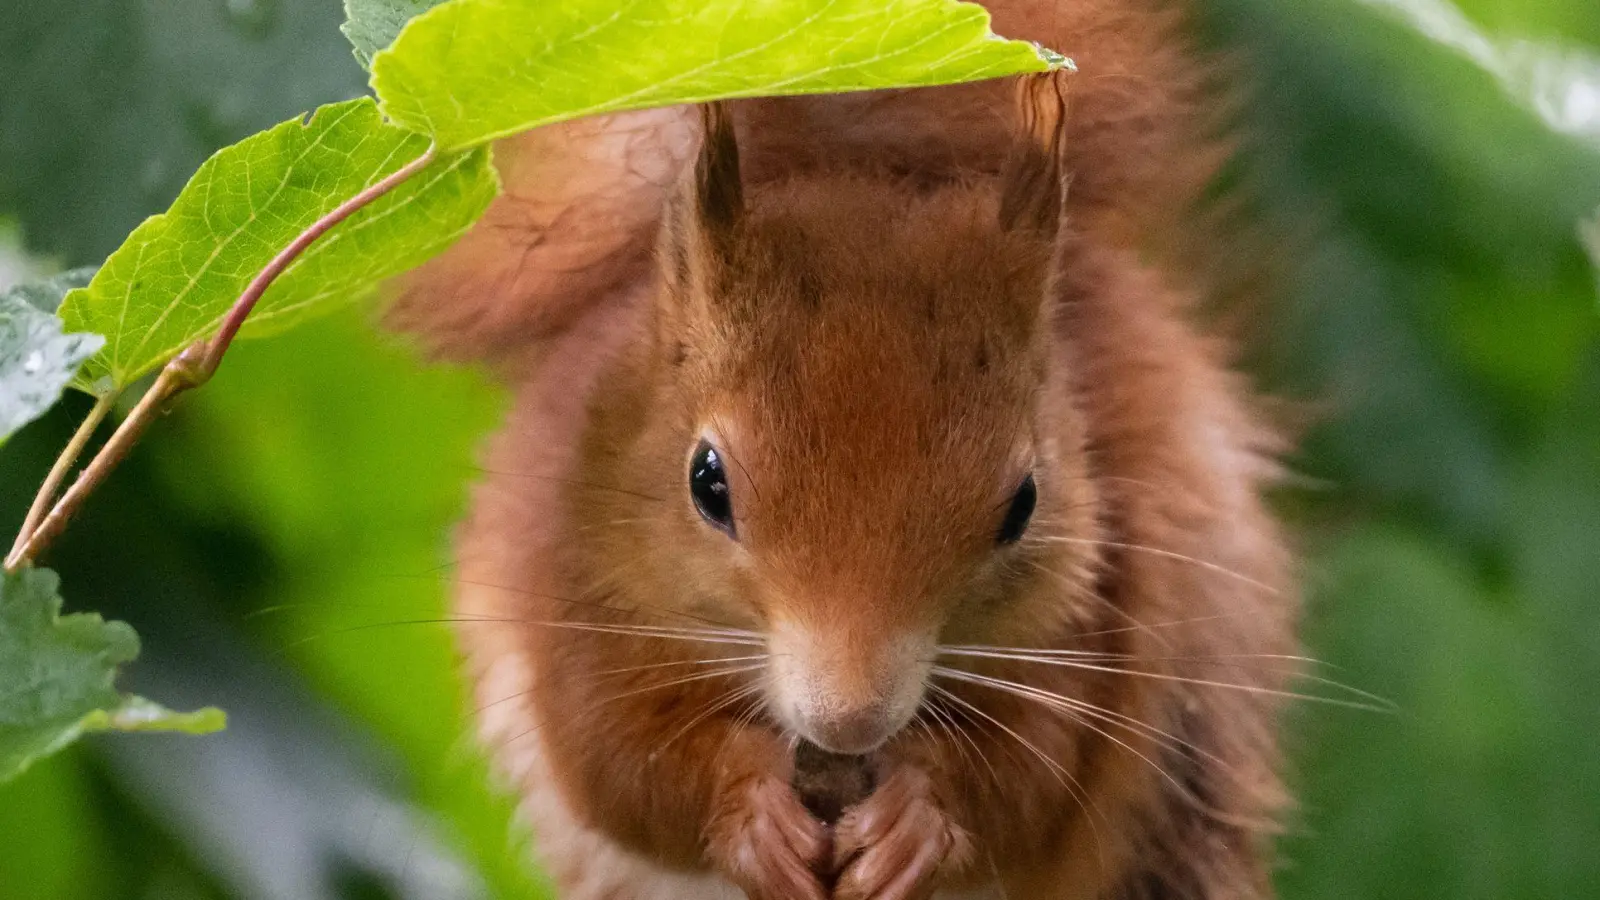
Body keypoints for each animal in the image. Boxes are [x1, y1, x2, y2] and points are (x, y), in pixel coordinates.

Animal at [390, 1, 1297, 897]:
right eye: (707, 483)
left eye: (1025, 504)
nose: (850, 718)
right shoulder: (571, 591)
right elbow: (615, 763)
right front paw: (751, 814)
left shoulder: (1079, 617)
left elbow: (1036, 768)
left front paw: (917, 818)